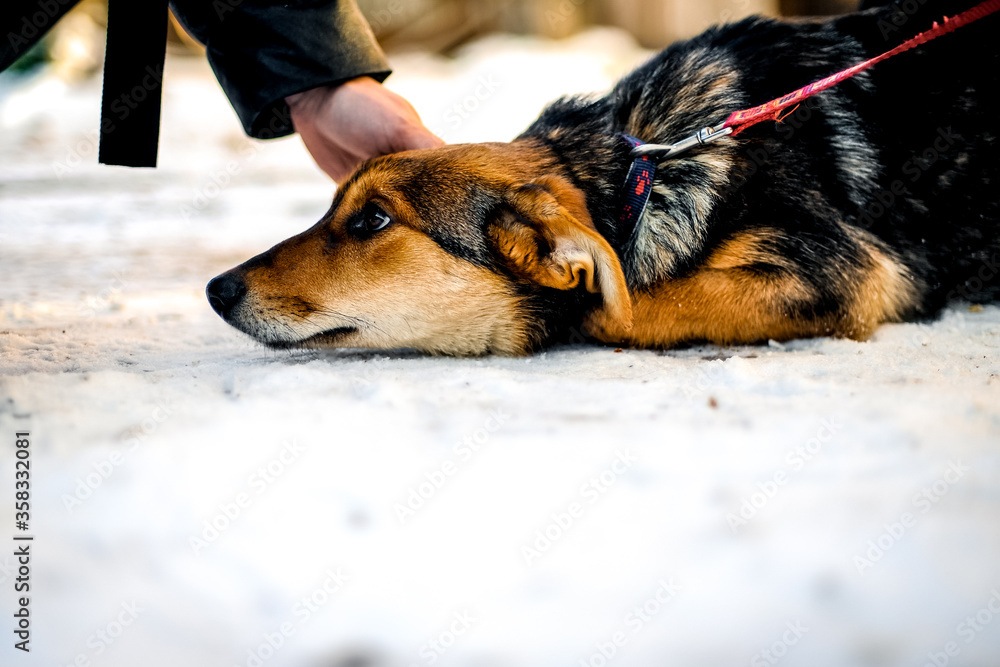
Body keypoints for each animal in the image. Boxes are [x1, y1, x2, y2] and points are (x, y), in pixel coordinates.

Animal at [207, 0, 996, 358]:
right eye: (332, 207)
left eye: (373, 220)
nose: (216, 289)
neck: (642, 177)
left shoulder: (845, 269)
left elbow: (621, 309)